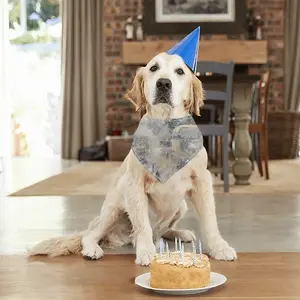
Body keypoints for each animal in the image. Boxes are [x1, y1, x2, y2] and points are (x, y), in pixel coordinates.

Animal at [29, 52, 237, 266]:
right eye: (153, 68)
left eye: (180, 71)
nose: (164, 83)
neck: (166, 129)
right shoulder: (134, 183)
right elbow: (142, 224)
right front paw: (145, 251)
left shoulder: (202, 180)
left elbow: (210, 220)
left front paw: (219, 247)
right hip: (113, 209)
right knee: (91, 235)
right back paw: (94, 249)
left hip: (181, 206)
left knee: (160, 232)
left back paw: (179, 233)